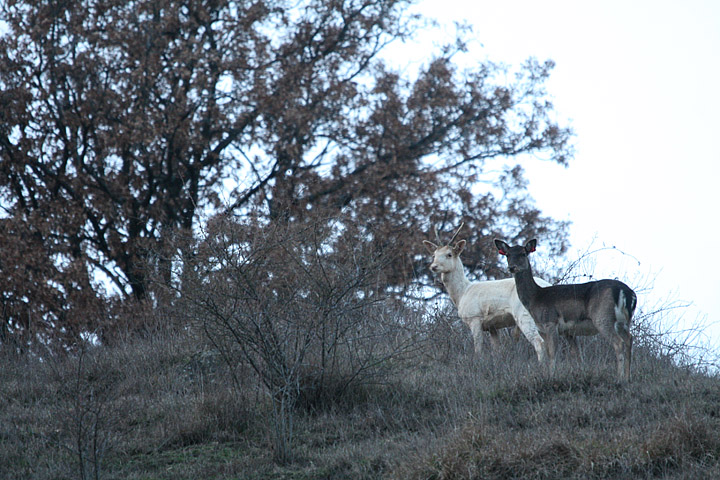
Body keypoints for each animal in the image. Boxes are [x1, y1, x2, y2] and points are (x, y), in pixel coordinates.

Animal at [424, 225, 548, 364]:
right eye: (434, 255)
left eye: (449, 254)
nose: (434, 266)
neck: (462, 294)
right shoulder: (492, 327)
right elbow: (497, 351)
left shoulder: (474, 318)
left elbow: (478, 349)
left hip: (525, 315)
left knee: (539, 342)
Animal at [496, 238, 636, 380]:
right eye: (507, 254)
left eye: (523, 253)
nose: (512, 267)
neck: (535, 298)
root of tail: (627, 292)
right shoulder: (567, 332)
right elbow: (577, 355)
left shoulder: (550, 322)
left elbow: (552, 353)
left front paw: (551, 376)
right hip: (623, 322)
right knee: (629, 339)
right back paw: (627, 377)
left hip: (602, 317)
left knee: (618, 343)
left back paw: (619, 378)